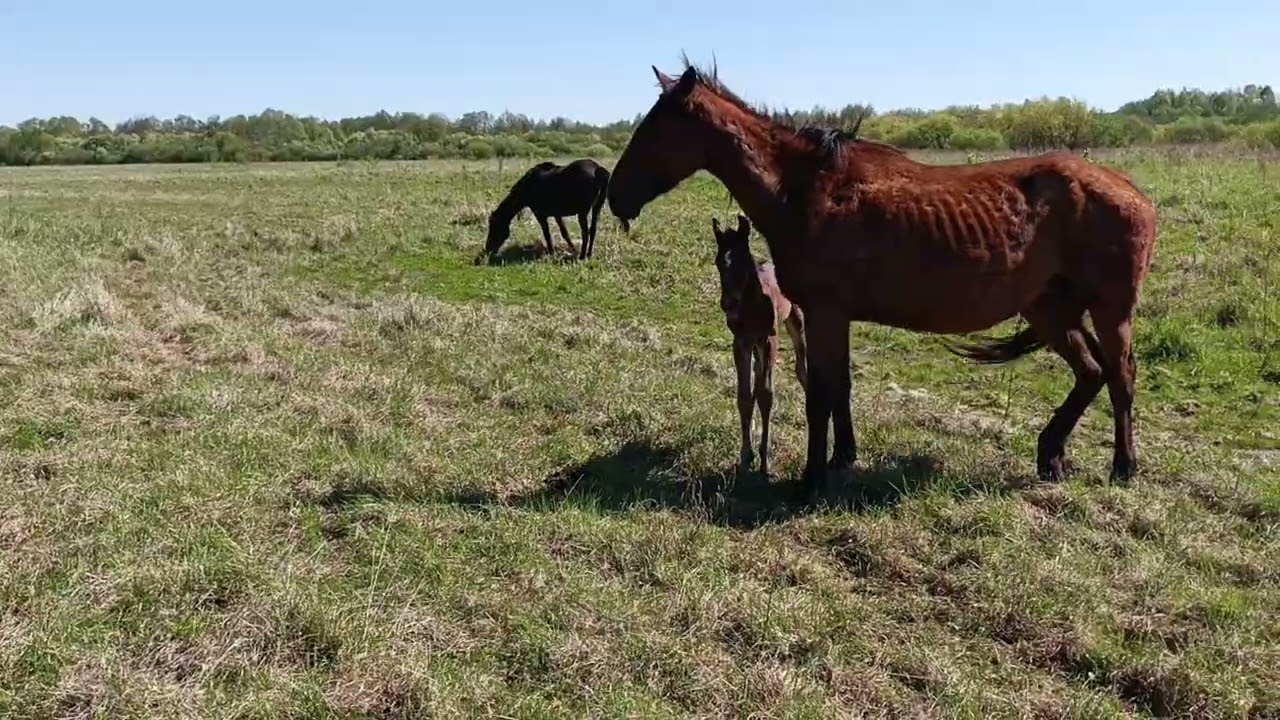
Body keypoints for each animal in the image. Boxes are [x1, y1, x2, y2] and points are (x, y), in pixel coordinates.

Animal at [475, 158, 610, 263]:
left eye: (494, 227)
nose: (488, 249)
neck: (528, 185)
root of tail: (598, 169)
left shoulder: (540, 214)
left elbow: (547, 234)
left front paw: (551, 253)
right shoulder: (557, 214)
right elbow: (564, 232)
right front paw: (572, 249)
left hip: (583, 212)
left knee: (585, 233)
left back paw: (582, 256)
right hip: (597, 208)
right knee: (593, 230)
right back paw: (588, 254)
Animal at [712, 213, 807, 479]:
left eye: (744, 261)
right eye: (718, 263)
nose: (728, 303)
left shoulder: (768, 339)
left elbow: (766, 395)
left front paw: (766, 461)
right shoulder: (741, 342)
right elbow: (745, 396)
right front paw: (746, 456)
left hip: (796, 320)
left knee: (801, 369)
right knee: (757, 377)